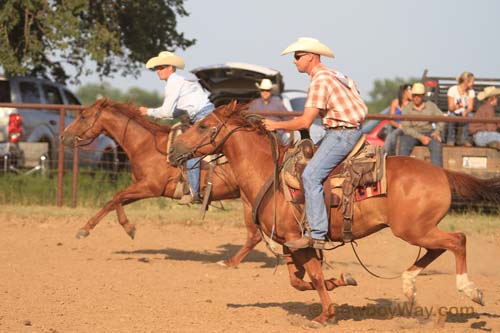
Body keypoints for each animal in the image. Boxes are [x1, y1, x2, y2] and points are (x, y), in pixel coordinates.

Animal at [61, 98, 264, 268]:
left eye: (83, 116)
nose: (63, 136)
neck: (146, 145)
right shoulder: (142, 188)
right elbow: (113, 202)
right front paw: (88, 229)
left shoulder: (149, 187)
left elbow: (116, 197)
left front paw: (126, 228)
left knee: (254, 234)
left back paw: (230, 262)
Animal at [171, 100, 500, 324]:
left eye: (203, 126)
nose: (174, 151)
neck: (270, 173)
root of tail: (442, 172)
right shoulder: (292, 242)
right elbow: (298, 281)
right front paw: (342, 281)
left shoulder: (300, 240)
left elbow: (314, 278)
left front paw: (325, 314)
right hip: (418, 229)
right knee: (438, 249)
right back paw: (409, 287)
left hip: (413, 229)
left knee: (457, 240)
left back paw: (470, 290)